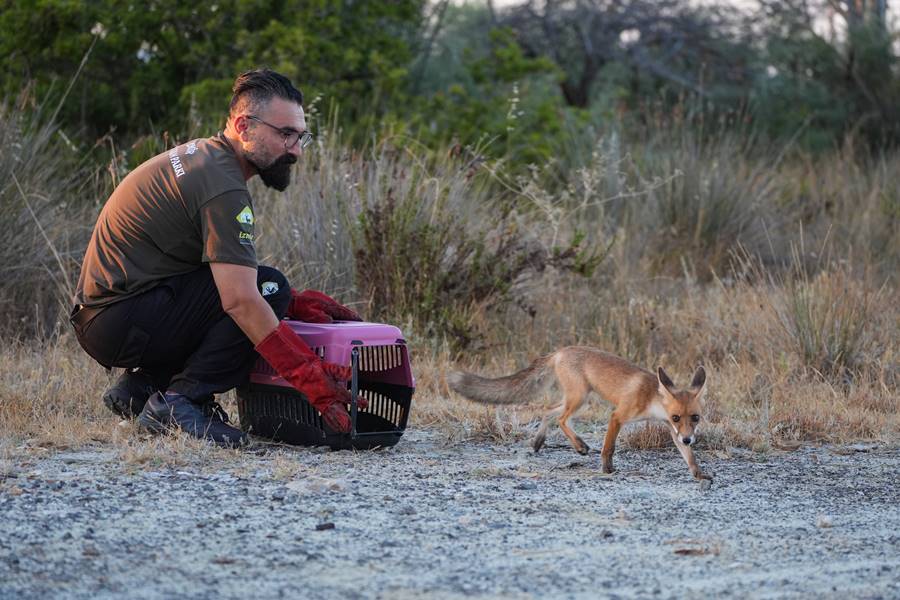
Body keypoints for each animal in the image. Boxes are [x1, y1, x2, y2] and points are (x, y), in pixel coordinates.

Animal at [446, 346, 712, 482]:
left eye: (695, 418)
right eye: (677, 417)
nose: (689, 438)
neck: (650, 400)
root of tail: (560, 350)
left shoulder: (672, 431)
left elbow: (689, 457)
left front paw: (699, 474)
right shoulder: (618, 415)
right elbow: (608, 447)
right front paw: (607, 469)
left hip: (575, 398)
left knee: (548, 411)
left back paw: (539, 442)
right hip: (581, 397)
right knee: (561, 418)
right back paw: (579, 446)